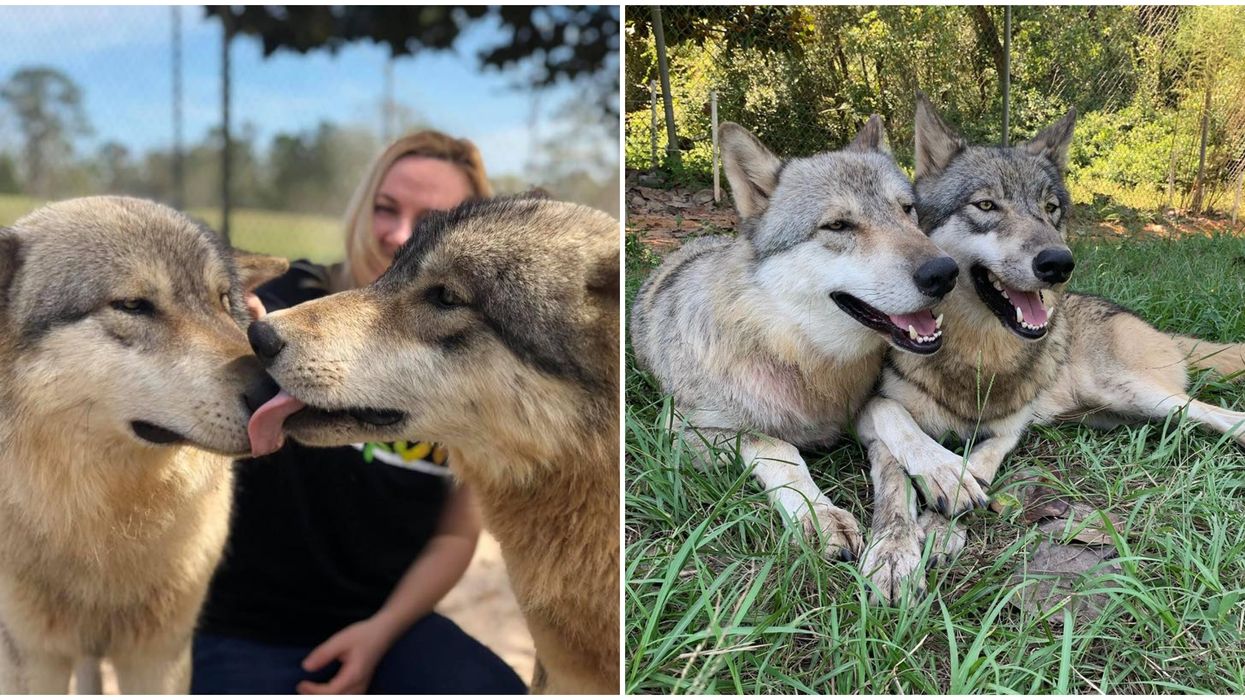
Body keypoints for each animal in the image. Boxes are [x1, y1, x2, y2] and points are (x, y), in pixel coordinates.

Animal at [630, 117, 962, 562]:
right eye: (838, 225)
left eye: (906, 210)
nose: (944, 272)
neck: (804, 357)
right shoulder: (680, 433)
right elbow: (778, 448)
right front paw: (821, 516)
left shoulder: (856, 408)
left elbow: (893, 412)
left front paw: (943, 467)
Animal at [854, 94, 1245, 603]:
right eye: (986, 205)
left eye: (1050, 208)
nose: (1058, 262)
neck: (979, 354)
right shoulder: (872, 416)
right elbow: (896, 471)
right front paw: (895, 553)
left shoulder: (1010, 427)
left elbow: (979, 465)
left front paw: (944, 519)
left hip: (1138, 394)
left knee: (1227, 416)